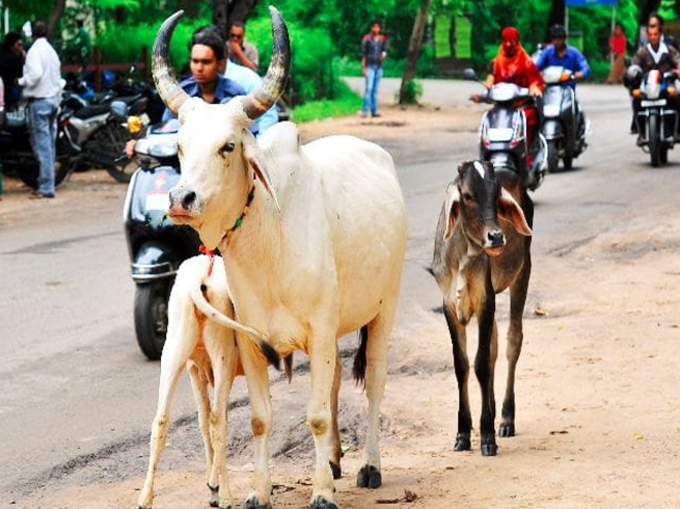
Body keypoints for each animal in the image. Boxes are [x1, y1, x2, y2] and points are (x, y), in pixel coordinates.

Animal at [138, 254, 276, 508]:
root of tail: (200, 278)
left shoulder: (195, 371)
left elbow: (201, 421)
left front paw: (213, 486)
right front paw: (217, 486)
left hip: (173, 352)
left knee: (162, 419)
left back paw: (145, 498)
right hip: (224, 357)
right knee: (218, 420)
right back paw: (226, 495)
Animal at [153, 6, 410, 508]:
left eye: (229, 146)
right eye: (179, 146)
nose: (181, 198)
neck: (269, 246)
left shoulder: (322, 330)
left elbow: (315, 415)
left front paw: (323, 493)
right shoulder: (255, 341)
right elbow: (260, 419)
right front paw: (259, 492)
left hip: (384, 306)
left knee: (374, 380)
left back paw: (368, 465)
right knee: (336, 383)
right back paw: (334, 459)